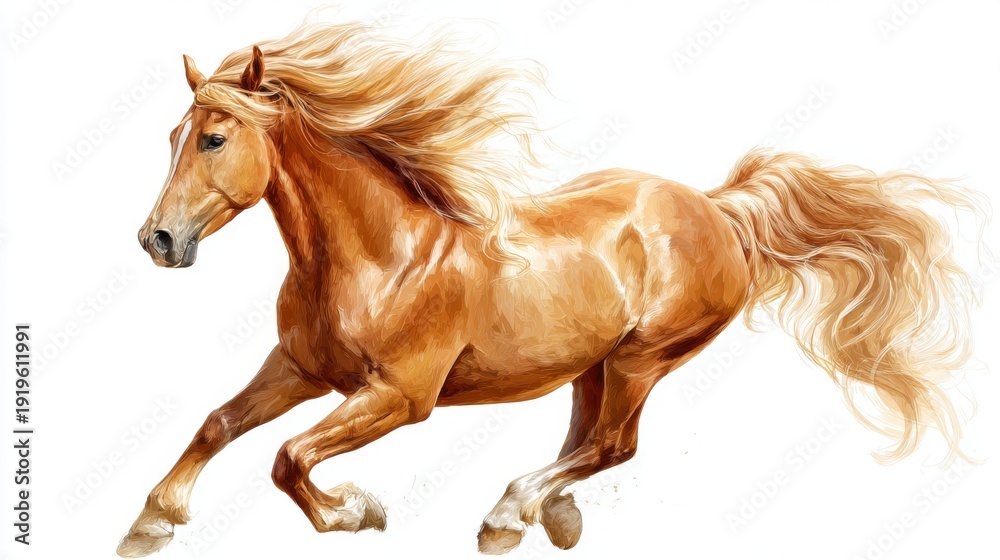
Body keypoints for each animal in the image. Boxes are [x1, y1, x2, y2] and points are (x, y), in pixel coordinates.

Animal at [119, 20, 982, 557]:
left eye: (213, 138)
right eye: (171, 136)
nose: (157, 241)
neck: (380, 257)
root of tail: (718, 209)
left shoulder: (399, 396)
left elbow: (287, 458)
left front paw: (358, 512)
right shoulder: (300, 369)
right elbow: (218, 425)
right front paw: (150, 525)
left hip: (644, 357)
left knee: (613, 444)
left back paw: (509, 513)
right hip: (591, 364)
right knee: (585, 443)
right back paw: (545, 514)